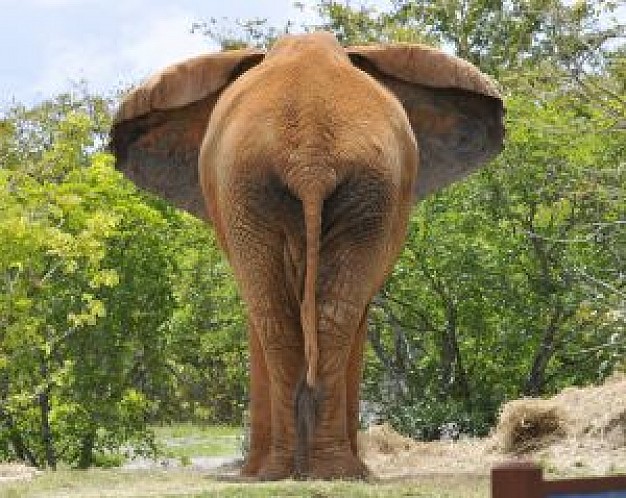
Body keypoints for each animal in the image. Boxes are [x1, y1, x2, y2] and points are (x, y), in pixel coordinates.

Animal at [111, 32, 502, 478]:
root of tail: (309, 157)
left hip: (301, 185)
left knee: (291, 316)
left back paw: (307, 471)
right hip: (303, 184)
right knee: (318, 315)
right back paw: (313, 471)